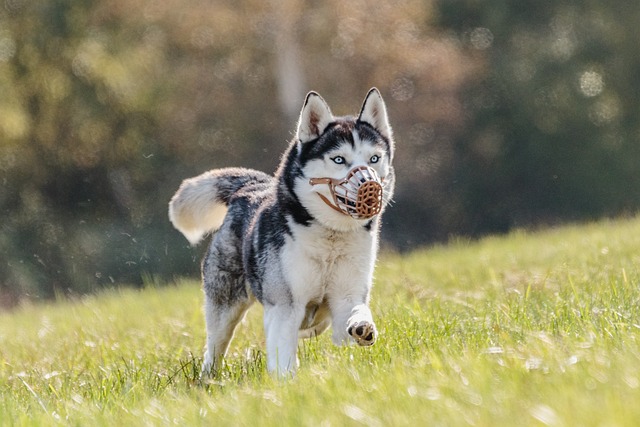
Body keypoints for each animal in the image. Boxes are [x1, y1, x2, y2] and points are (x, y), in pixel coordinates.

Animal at [169, 88, 396, 376]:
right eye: (338, 160)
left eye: (374, 159)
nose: (370, 185)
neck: (330, 240)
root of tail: (250, 187)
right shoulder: (285, 306)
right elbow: (283, 353)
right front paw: (286, 381)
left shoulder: (347, 294)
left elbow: (354, 314)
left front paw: (361, 326)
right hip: (225, 306)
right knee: (215, 347)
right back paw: (209, 377)